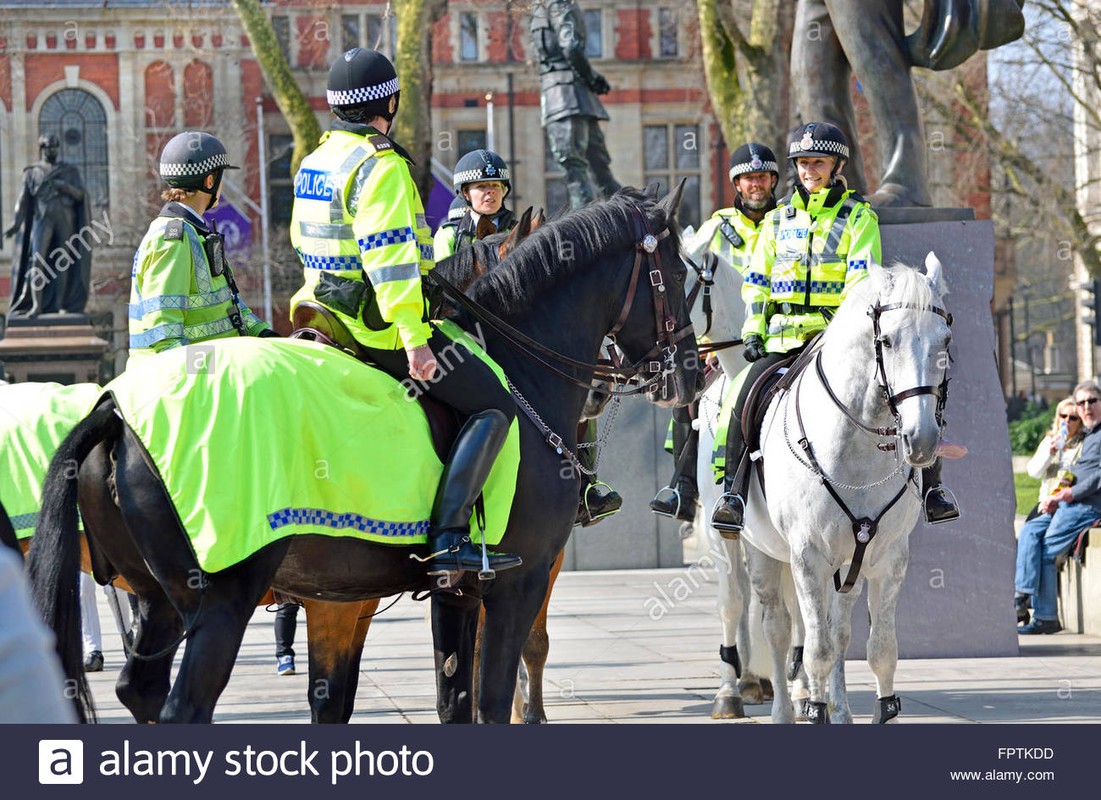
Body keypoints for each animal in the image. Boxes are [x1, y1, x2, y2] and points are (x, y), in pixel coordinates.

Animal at [30, 189, 700, 726]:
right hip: (221, 596)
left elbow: (448, 703)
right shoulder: (518, 579)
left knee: (140, 690)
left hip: (158, 598)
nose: (692, 373)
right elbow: (488, 700)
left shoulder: (444, 593)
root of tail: (115, 407)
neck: (517, 367)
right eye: (677, 272)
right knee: (183, 707)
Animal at [739, 256, 955, 726]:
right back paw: (783, 709)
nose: (922, 439)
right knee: (779, 628)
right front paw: (813, 707)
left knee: (836, 629)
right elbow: (816, 650)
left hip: (847, 564)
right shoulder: (807, 556)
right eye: (887, 341)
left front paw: (875, 709)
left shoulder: (888, 557)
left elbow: (880, 651)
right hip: (760, 552)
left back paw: (837, 709)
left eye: (945, 340)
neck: (856, 448)